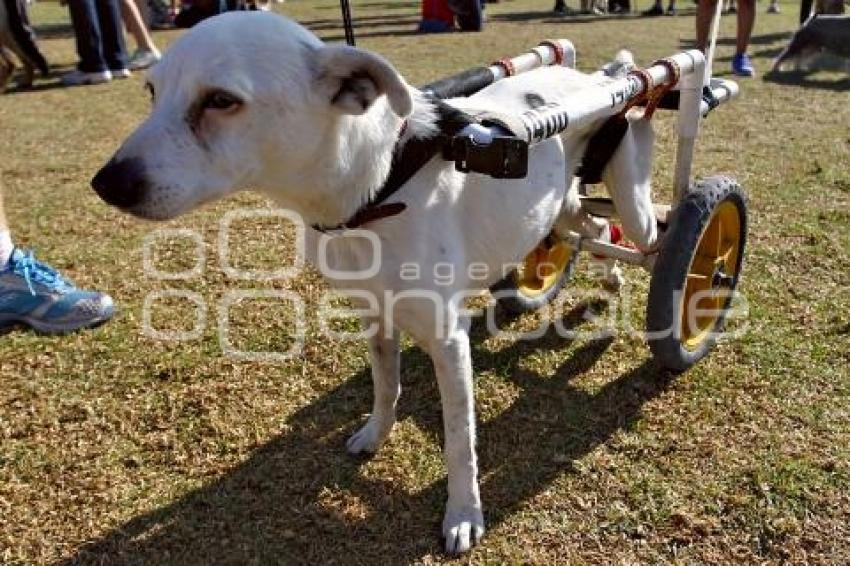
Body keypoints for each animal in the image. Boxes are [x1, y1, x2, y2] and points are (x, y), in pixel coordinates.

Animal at [93, 11, 656, 556]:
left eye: (221, 100)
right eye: (151, 91)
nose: (106, 184)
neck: (379, 190)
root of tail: (595, 77)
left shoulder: (448, 342)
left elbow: (459, 440)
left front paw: (464, 514)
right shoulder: (377, 317)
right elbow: (387, 386)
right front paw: (374, 434)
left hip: (634, 204)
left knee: (642, 238)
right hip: (558, 206)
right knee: (592, 228)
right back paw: (606, 279)